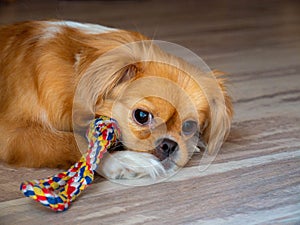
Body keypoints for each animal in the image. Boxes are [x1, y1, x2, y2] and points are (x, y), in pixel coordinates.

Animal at [0, 20, 232, 179]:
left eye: (189, 126)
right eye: (141, 116)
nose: (169, 145)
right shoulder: (12, 134)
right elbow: (77, 140)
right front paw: (125, 160)